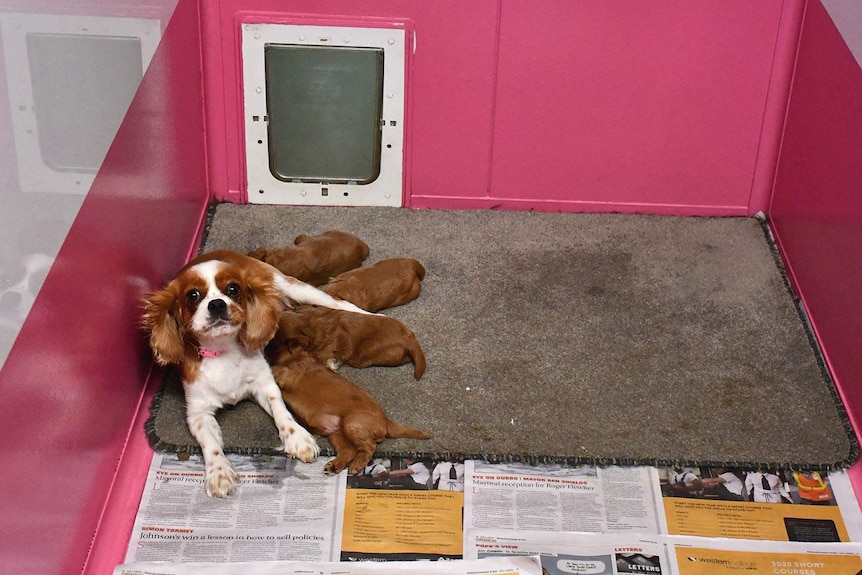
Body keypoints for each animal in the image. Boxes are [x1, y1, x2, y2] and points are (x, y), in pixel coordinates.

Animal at [140, 250, 372, 498]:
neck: (223, 350)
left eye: (233, 289)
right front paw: (219, 473)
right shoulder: (197, 412)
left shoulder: (265, 384)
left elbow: (281, 411)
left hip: (293, 287)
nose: (217, 304)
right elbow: (210, 443)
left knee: (340, 304)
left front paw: (298, 438)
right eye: (193, 295)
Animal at [270, 344, 432, 474]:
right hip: (336, 433)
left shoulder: (286, 374)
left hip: (352, 423)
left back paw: (357, 465)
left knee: (369, 446)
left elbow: (275, 370)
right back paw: (334, 466)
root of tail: (386, 421)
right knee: (349, 451)